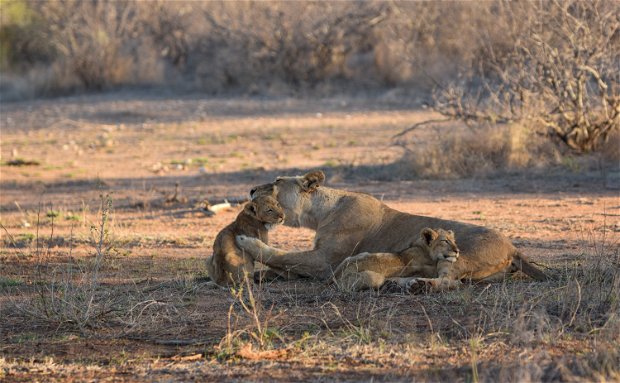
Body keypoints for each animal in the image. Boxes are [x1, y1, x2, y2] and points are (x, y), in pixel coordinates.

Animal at [236, 170, 548, 284]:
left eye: (276, 182)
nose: (250, 189)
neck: (320, 212)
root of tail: (513, 246)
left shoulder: (326, 261)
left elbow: (283, 255)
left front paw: (247, 243)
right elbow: (285, 265)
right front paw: (261, 275)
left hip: (456, 255)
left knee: (450, 280)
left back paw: (415, 286)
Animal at [330, 228, 460, 292]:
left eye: (454, 241)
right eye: (445, 241)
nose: (457, 250)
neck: (423, 249)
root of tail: (334, 278)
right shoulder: (429, 272)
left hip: (358, 255)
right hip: (374, 277)